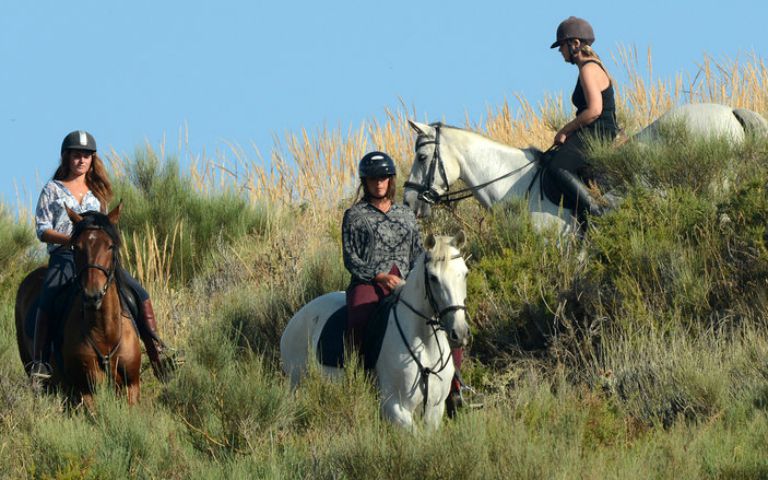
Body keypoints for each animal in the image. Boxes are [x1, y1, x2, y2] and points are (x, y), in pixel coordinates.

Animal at [15, 204, 142, 406]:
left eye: (110, 246)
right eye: (77, 247)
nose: (93, 295)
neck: (105, 332)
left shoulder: (132, 386)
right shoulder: (86, 391)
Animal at [280, 232, 470, 430]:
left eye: (465, 274)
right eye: (433, 277)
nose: (460, 333)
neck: (425, 345)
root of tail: (297, 317)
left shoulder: (434, 409)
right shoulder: (394, 407)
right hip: (296, 383)